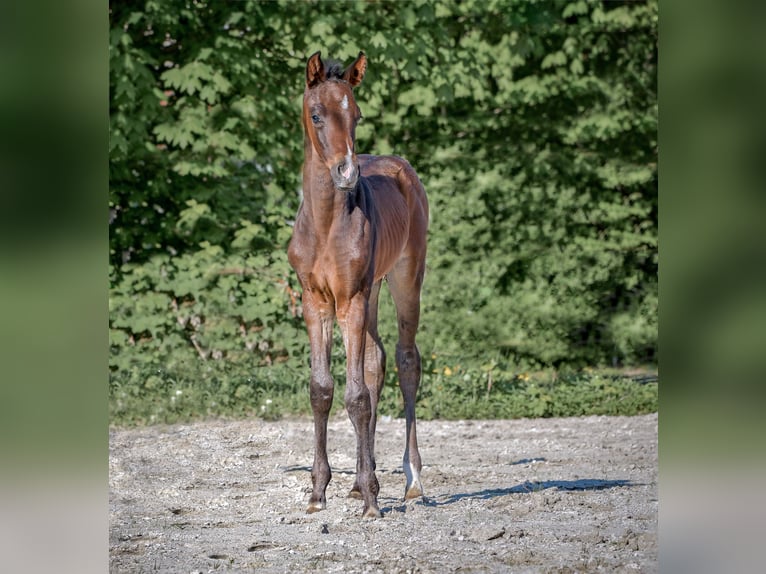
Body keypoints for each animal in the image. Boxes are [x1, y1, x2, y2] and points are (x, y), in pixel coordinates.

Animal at [290, 53, 432, 520]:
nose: (347, 173)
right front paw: (319, 491)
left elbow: (356, 397)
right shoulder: (316, 302)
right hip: (371, 293)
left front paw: (372, 499)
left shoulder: (349, 299)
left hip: (404, 277)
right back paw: (356, 483)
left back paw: (411, 480)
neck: (325, 224)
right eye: (317, 114)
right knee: (376, 362)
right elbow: (323, 389)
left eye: (357, 114)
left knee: (406, 361)